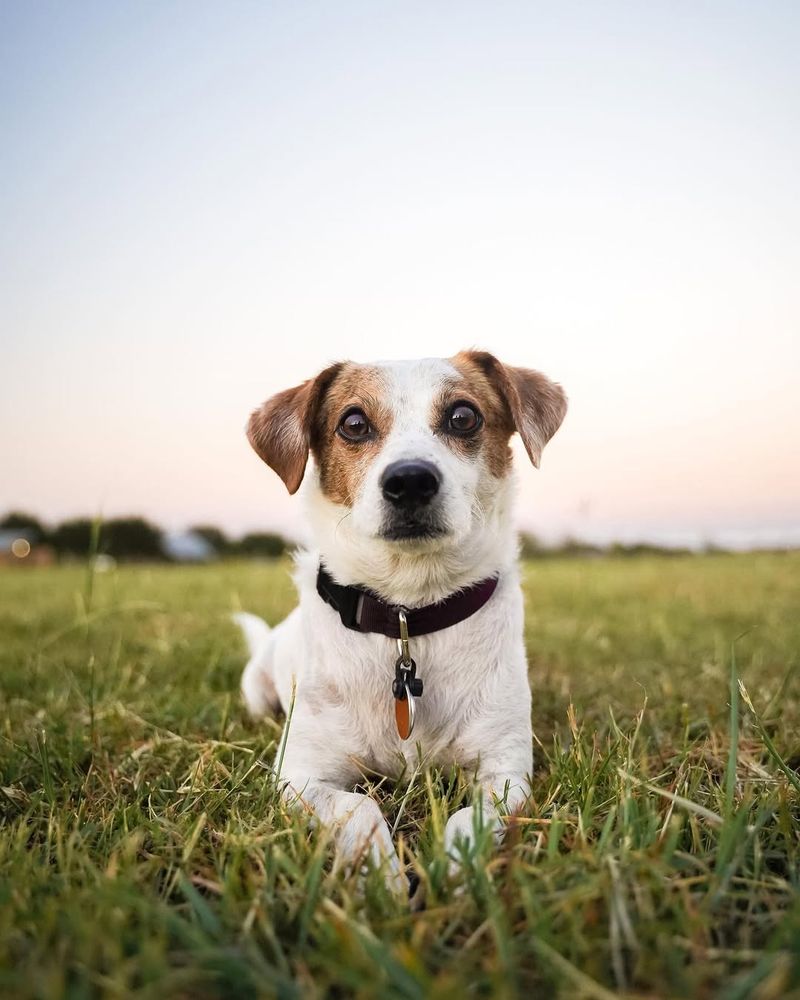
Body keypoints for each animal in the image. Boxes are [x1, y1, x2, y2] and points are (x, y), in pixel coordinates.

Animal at [234, 350, 564, 892]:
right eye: (353, 423)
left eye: (463, 416)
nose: (410, 480)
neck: (409, 614)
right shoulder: (300, 775)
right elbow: (361, 808)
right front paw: (381, 879)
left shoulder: (505, 772)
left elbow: (468, 818)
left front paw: (455, 873)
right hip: (257, 696)